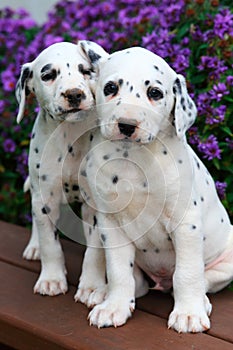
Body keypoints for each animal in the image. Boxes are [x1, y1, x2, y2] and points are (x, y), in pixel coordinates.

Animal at [15, 42, 108, 296]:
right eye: (48, 75)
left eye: (86, 71)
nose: (74, 94)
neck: (70, 136)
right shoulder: (45, 198)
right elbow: (50, 243)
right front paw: (52, 279)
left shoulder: (94, 205)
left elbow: (94, 252)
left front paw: (91, 286)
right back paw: (34, 246)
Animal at [76, 45, 233, 332]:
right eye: (111, 87)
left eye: (155, 93)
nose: (127, 125)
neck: (134, 159)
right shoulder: (111, 225)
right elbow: (118, 271)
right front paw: (114, 307)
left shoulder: (186, 224)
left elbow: (188, 273)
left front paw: (189, 313)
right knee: (136, 282)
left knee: (202, 278)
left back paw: (201, 301)